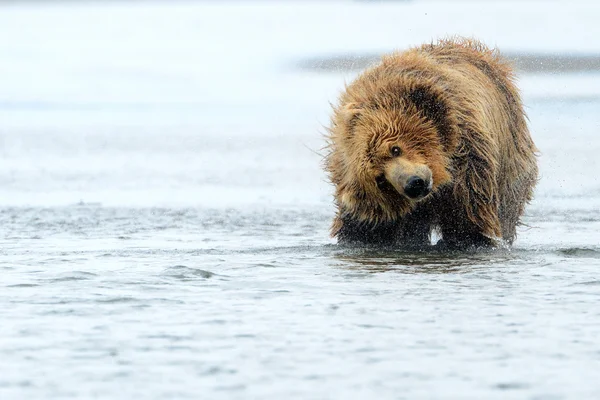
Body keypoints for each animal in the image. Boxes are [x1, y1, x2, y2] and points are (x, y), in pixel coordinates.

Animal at [324, 38, 540, 250]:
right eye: (380, 180)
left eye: (395, 148)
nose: (414, 183)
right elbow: (361, 229)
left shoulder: (469, 163)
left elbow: (469, 219)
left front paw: (466, 239)